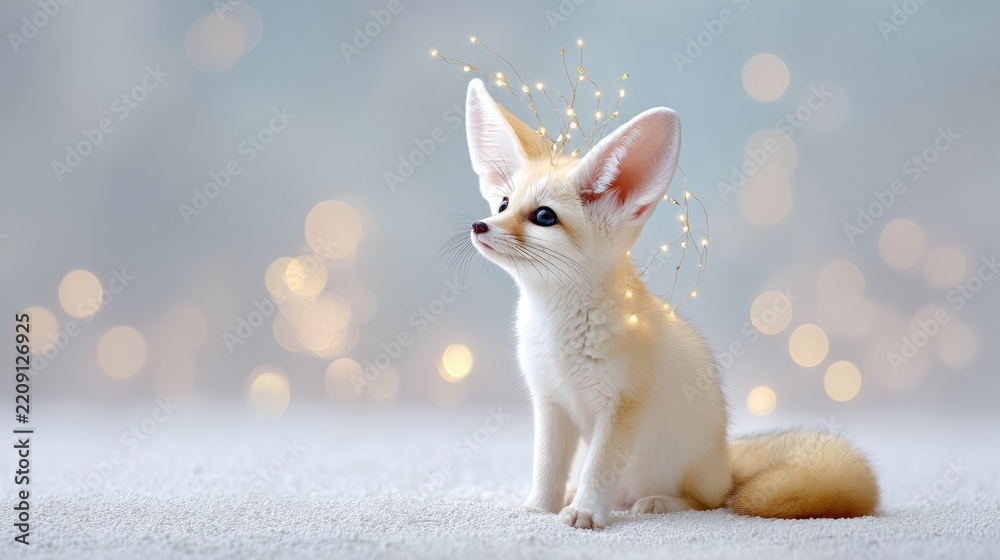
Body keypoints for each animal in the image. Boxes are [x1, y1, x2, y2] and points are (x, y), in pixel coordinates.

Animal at [461, 78, 879, 529]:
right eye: (503, 204)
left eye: (543, 217)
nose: (480, 225)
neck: (559, 329)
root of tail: (726, 459)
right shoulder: (551, 403)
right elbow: (547, 468)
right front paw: (540, 508)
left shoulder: (622, 406)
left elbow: (597, 469)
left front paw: (586, 512)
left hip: (686, 475)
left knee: (708, 500)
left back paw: (658, 502)